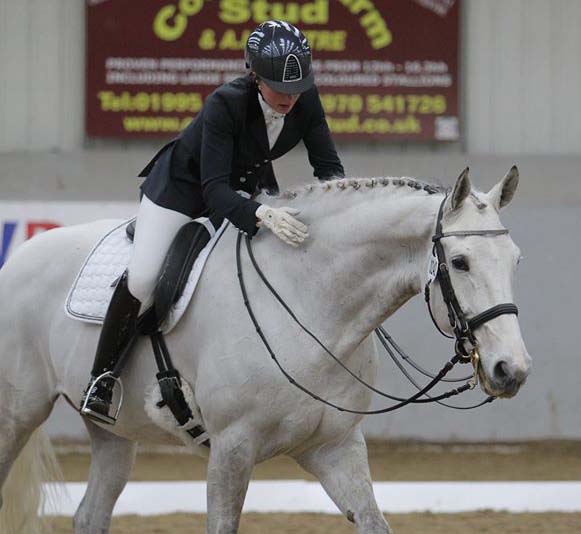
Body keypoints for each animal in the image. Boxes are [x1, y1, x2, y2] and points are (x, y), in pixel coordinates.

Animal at [0, 166, 532, 532]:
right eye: (459, 262)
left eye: (516, 260)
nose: (512, 370)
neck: (312, 303)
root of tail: (19, 259)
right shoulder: (232, 448)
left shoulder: (335, 448)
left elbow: (373, 521)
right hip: (17, 416)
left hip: (113, 431)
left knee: (91, 514)